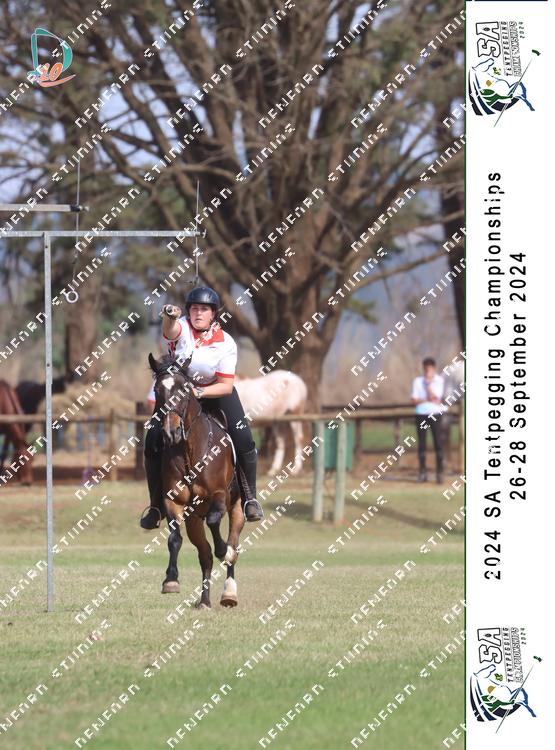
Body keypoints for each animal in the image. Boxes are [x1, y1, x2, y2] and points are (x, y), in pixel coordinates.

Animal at [148, 353, 245, 608]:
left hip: (237, 507)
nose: (171, 432)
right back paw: (204, 601)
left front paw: (224, 551)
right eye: (157, 390)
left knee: (233, 546)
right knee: (205, 555)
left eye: (184, 389)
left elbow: (214, 522)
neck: (189, 452)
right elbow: (174, 539)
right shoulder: (174, 501)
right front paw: (170, 580)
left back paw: (229, 593)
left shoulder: (220, 495)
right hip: (193, 519)